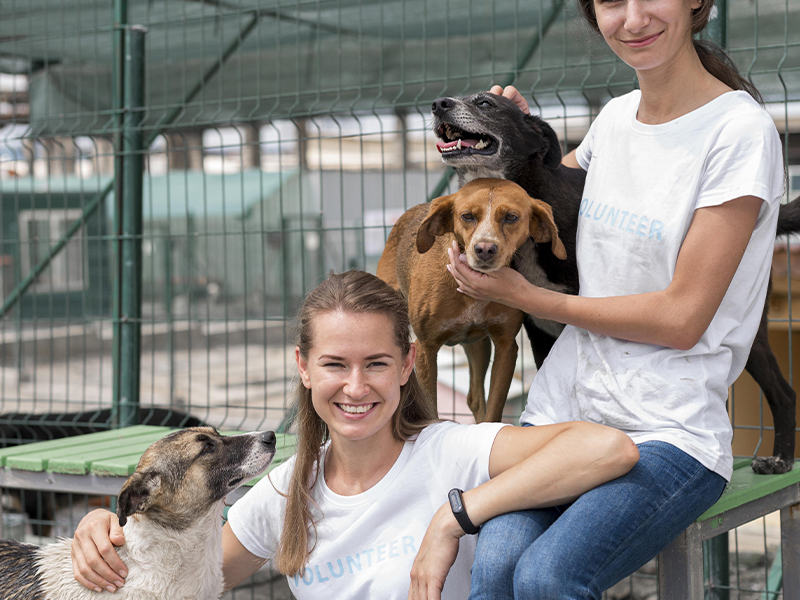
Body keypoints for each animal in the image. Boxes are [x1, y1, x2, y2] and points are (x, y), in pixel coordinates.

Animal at [377, 177, 566, 423]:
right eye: (467, 216)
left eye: (511, 217)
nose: (484, 249)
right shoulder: (425, 348)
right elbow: (429, 410)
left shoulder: (506, 346)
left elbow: (493, 410)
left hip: (478, 346)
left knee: (474, 398)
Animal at [432, 91, 799, 474]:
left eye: (485, 103)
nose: (438, 104)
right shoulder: (539, 330)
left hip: (749, 335)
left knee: (783, 393)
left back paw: (780, 458)